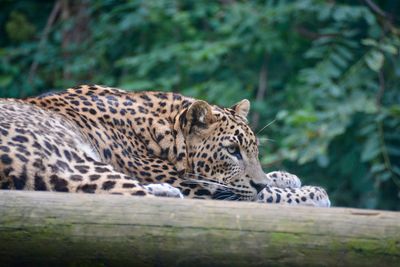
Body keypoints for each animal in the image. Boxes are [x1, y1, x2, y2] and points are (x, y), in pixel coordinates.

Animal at [0, 85, 330, 208]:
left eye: (253, 151)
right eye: (231, 151)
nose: (259, 182)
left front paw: (284, 177)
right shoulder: (200, 185)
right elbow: (262, 194)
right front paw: (313, 193)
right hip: (64, 154)